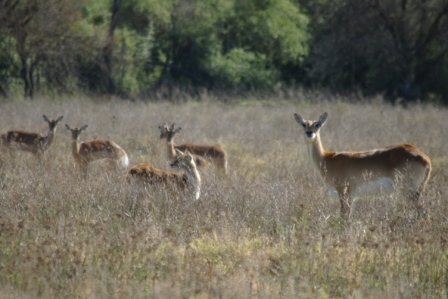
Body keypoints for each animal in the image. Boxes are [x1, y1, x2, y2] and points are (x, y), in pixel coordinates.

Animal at [294, 112, 430, 220]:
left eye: (317, 124)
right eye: (304, 124)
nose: (309, 133)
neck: (327, 159)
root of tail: (425, 159)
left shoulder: (344, 190)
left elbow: (344, 215)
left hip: (408, 189)